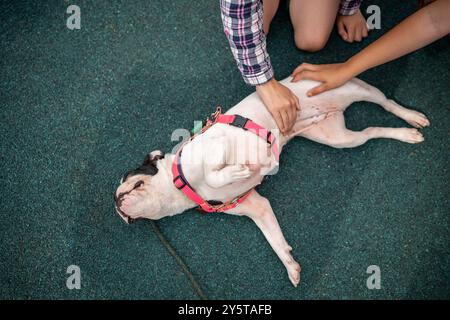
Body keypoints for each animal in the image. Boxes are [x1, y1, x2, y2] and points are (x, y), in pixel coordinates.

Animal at [113, 77, 428, 284]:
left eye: (132, 181)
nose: (117, 202)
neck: (182, 187)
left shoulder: (217, 147)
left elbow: (215, 172)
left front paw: (237, 171)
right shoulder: (257, 207)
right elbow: (275, 240)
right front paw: (290, 266)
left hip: (353, 88)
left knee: (386, 101)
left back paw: (412, 116)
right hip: (338, 138)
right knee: (372, 131)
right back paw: (406, 133)